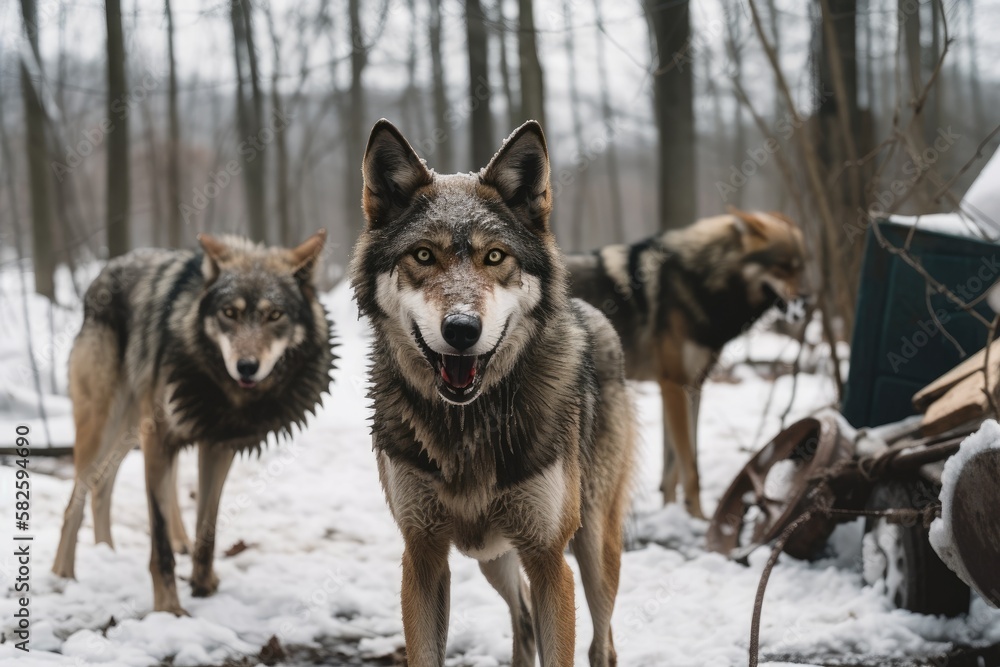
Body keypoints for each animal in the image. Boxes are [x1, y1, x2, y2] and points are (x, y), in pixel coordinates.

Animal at [51, 231, 336, 616]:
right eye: (229, 313)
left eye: (274, 315)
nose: (247, 367)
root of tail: (105, 271)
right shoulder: (158, 440)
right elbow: (159, 540)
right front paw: (169, 608)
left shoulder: (218, 445)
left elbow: (208, 529)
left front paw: (204, 586)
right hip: (105, 427)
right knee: (77, 497)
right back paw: (63, 572)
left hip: (129, 431)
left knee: (101, 486)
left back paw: (106, 552)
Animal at [350, 121, 632, 667]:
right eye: (423, 255)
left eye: (495, 257)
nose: (461, 329)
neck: (469, 426)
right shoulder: (422, 556)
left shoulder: (549, 561)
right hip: (492, 557)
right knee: (521, 620)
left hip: (591, 546)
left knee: (602, 643)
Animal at [568, 211, 808, 520]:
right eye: (782, 267)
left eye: (801, 268)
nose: (805, 301)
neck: (702, 280)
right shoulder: (673, 385)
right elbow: (689, 468)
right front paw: (698, 518)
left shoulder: (692, 387)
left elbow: (674, 468)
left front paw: (673, 513)